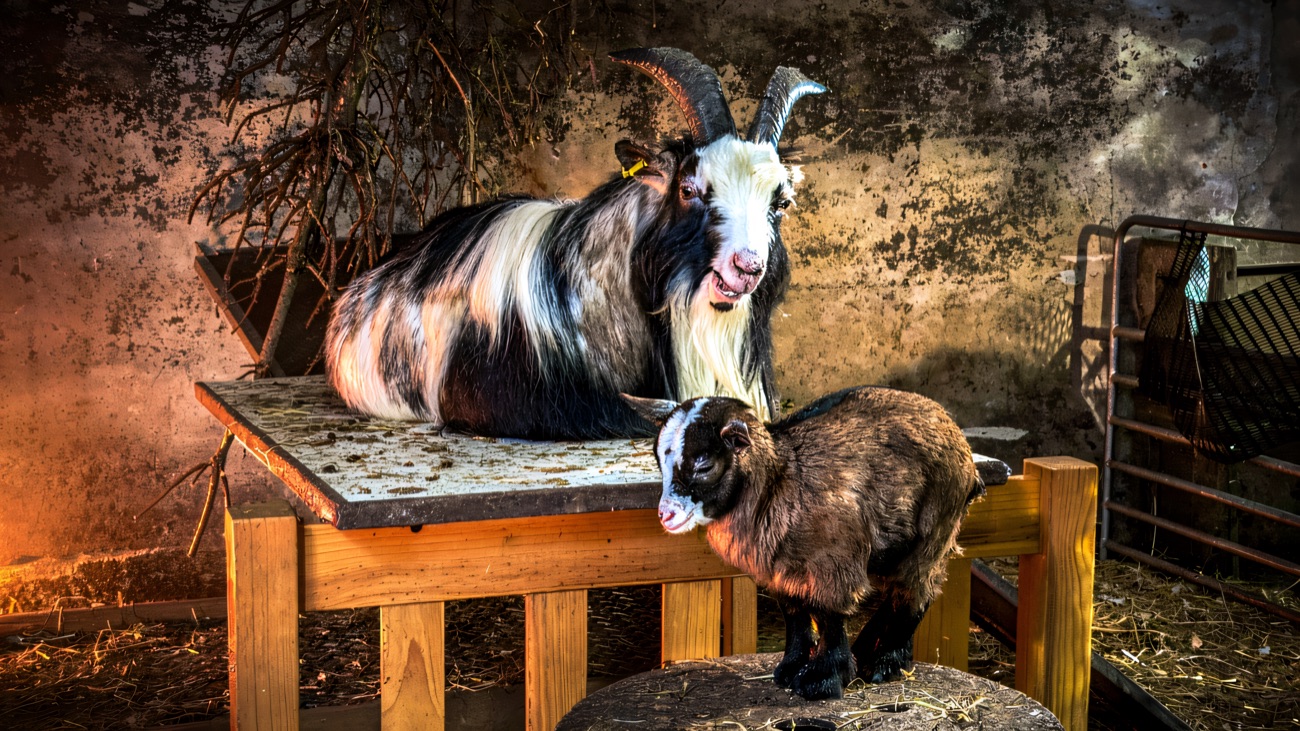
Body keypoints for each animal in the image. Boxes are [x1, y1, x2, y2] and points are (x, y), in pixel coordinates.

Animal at [624, 387, 986, 700]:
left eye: (703, 465)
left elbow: (828, 615)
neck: (779, 482)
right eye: (658, 460)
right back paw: (872, 652)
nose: (666, 515)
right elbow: (796, 615)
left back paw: (885, 662)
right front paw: (791, 668)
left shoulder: (835, 562)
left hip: (935, 530)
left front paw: (822, 679)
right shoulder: (781, 571)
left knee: (914, 594)